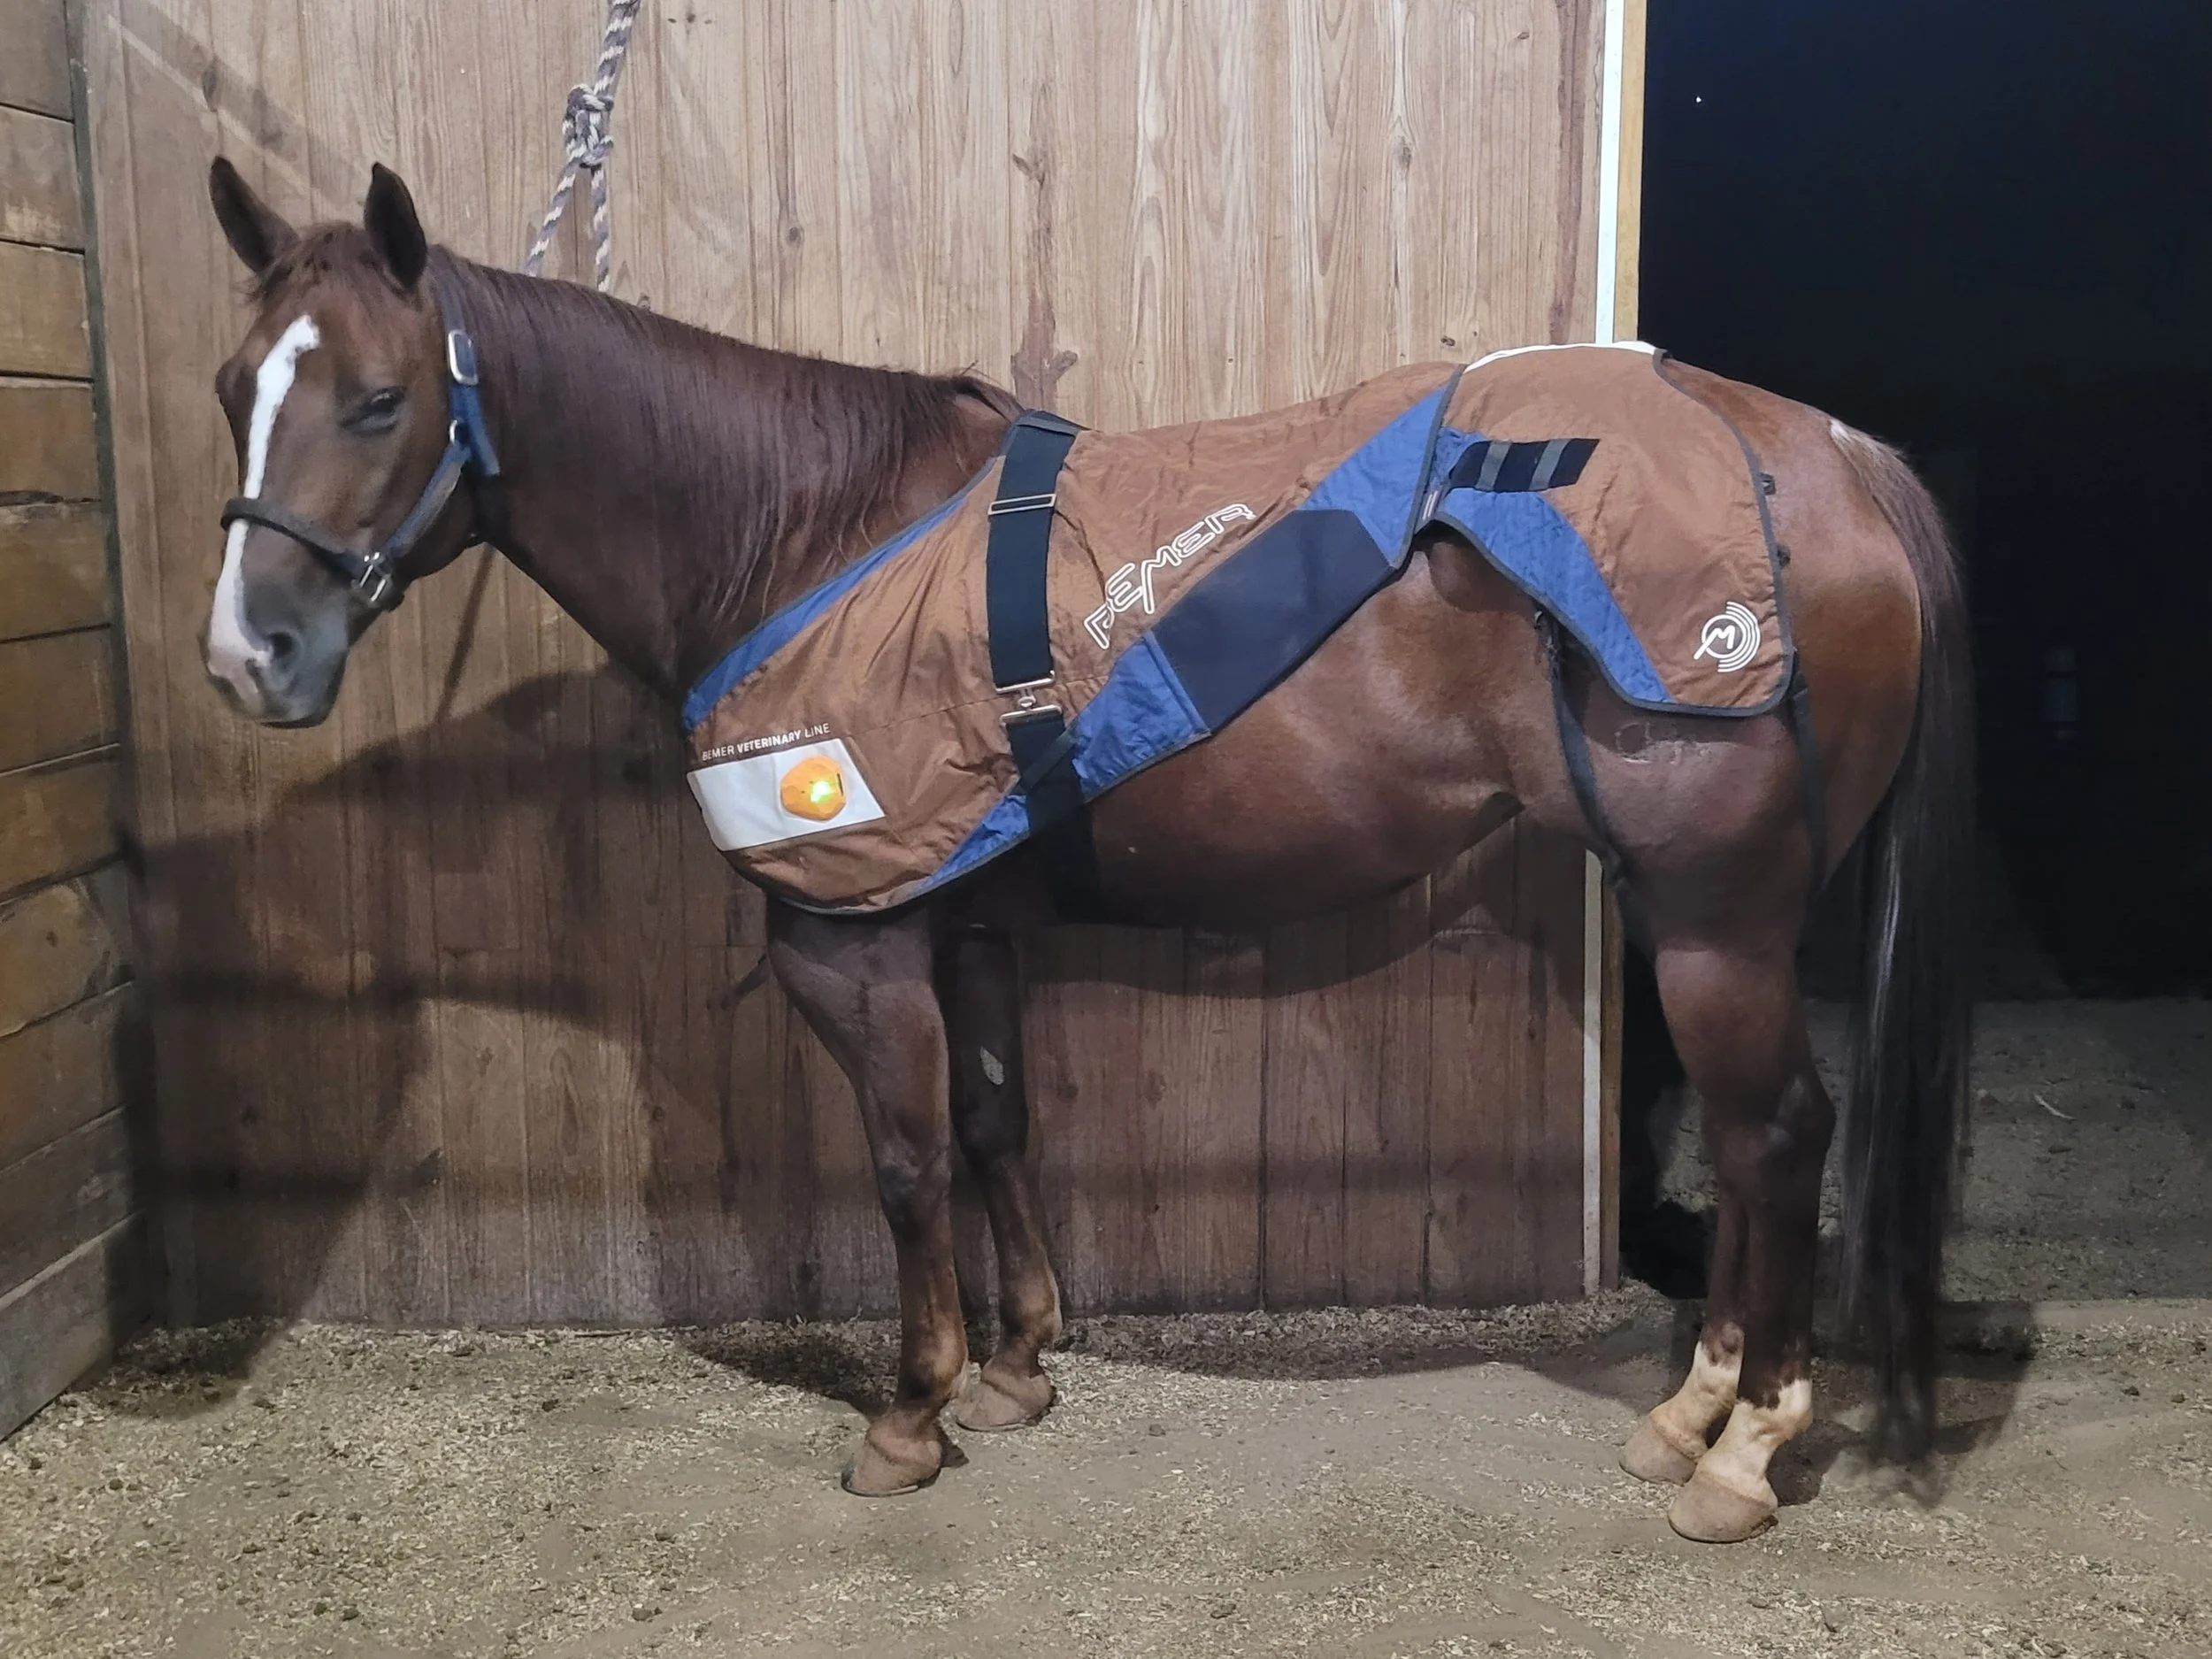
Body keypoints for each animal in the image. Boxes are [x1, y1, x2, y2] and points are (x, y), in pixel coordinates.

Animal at [198, 159, 1972, 1543]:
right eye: (235, 391)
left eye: (378, 398)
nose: (247, 659)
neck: (806, 536)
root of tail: (1830, 454)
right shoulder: (970, 920)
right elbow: (995, 1126)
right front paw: (1016, 1365)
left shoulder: (856, 943)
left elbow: (906, 1160)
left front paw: (909, 1416)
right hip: (1682, 914)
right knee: (1748, 1143)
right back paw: (1689, 1417)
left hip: (1720, 920)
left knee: (1776, 1139)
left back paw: (1742, 1448)